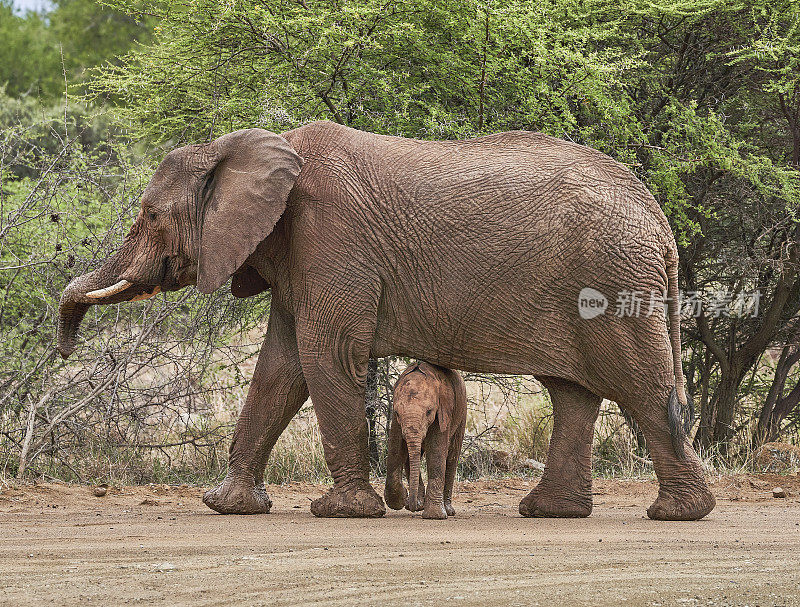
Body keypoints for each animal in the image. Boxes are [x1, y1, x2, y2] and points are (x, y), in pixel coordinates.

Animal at [384, 364, 466, 520]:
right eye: (397, 413)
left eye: (429, 412)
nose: (412, 507)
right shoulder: (396, 422)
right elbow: (395, 449)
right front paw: (401, 499)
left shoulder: (442, 412)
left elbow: (436, 451)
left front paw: (435, 516)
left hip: (462, 412)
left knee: (452, 456)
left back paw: (447, 510)